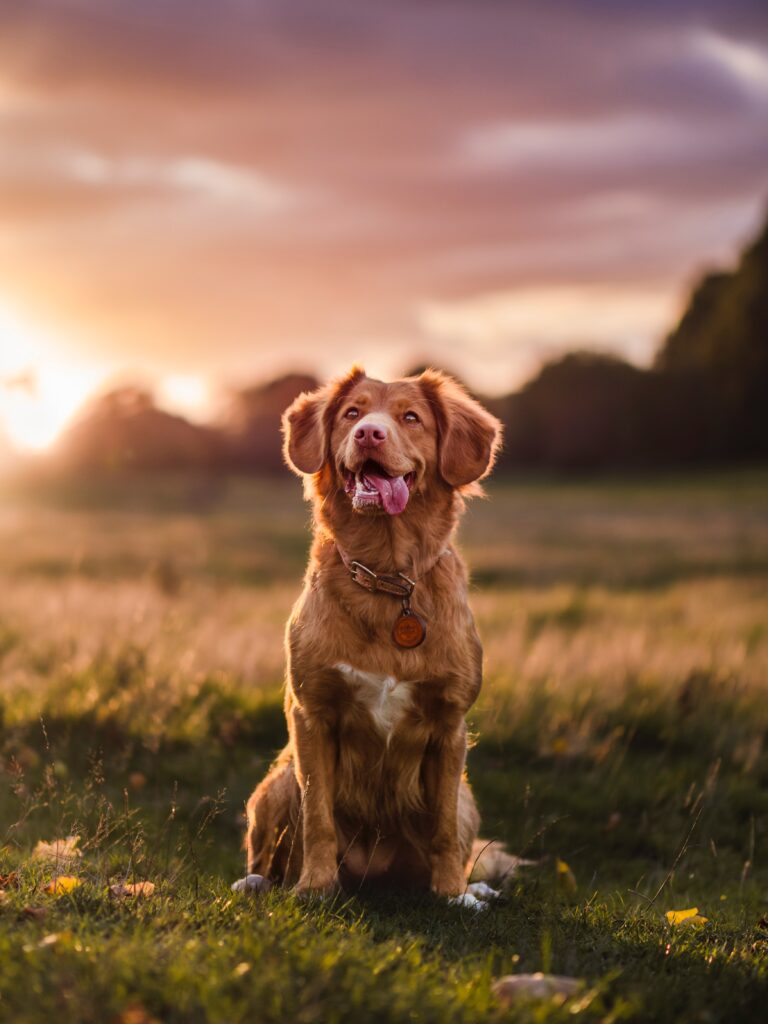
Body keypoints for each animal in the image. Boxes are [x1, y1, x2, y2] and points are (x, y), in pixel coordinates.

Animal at [237, 366, 507, 905]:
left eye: (411, 417)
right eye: (351, 413)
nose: (368, 434)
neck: (387, 578)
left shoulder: (450, 726)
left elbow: (445, 829)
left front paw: (451, 894)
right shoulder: (312, 715)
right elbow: (317, 818)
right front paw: (315, 886)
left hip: (467, 796)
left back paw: (475, 890)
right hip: (275, 782)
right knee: (266, 853)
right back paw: (258, 882)